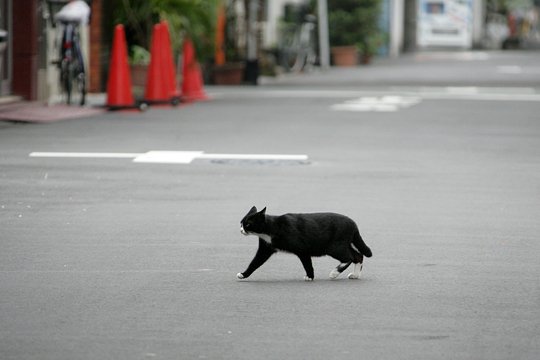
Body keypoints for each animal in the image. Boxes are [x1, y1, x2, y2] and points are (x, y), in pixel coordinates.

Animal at [237, 205, 372, 282]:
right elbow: (254, 263)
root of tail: (353, 223)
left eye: (248, 224)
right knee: (358, 256)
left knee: (349, 257)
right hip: (344, 244)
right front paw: (243, 275)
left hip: (334, 247)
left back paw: (334, 273)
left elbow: (307, 264)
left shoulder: (302, 249)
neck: (272, 228)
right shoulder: (265, 249)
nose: (241, 230)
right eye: (241, 223)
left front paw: (310, 277)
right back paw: (355, 275)